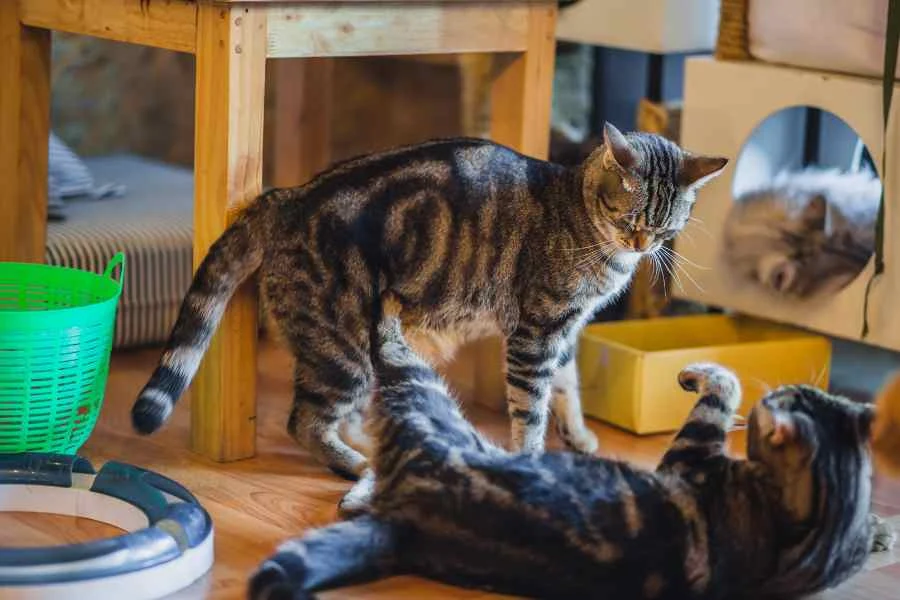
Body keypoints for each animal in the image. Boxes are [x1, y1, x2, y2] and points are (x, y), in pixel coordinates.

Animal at [132, 120, 724, 478]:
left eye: (667, 226)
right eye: (630, 218)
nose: (643, 245)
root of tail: (287, 196)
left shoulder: (566, 331)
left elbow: (568, 386)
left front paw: (579, 436)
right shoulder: (537, 332)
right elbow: (531, 408)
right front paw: (532, 457)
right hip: (341, 348)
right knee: (305, 421)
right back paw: (356, 463)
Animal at [246, 296, 892, 600]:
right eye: (803, 393)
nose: (780, 390)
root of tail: (408, 520)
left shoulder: (689, 456)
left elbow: (720, 390)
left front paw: (700, 373)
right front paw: (881, 530)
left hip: (424, 396)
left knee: (388, 343)